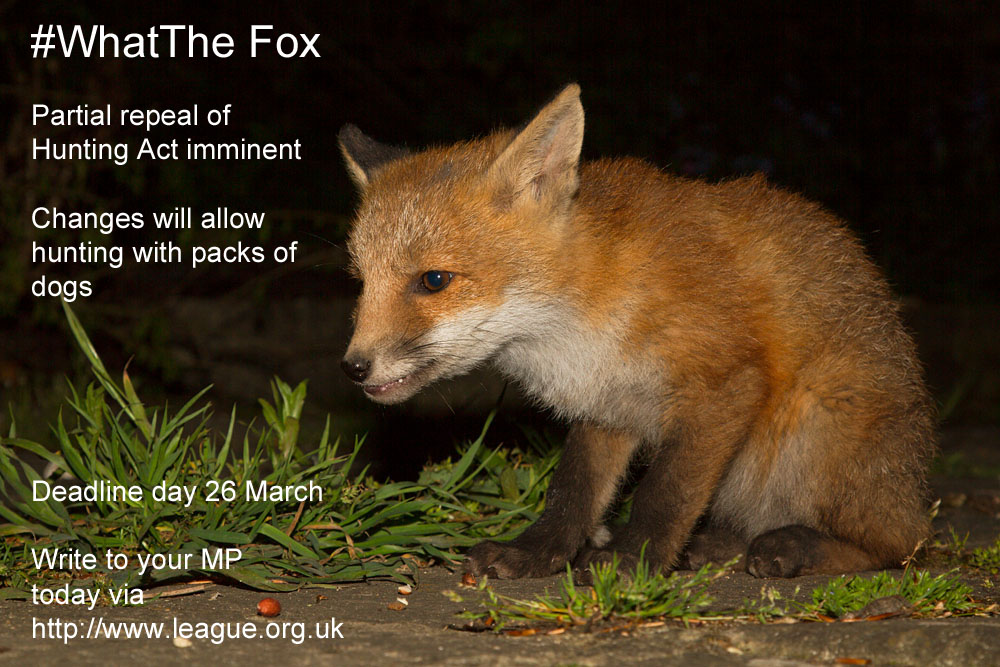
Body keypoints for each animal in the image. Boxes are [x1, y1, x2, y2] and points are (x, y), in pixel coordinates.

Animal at [337, 84, 935, 579]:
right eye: (361, 282)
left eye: (433, 280)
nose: (354, 367)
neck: (579, 319)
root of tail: (913, 483)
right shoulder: (606, 405)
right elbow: (572, 491)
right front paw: (538, 553)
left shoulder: (724, 383)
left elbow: (663, 495)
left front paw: (633, 562)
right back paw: (718, 546)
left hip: (814, 426)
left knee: (897, 546)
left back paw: (796, 547)